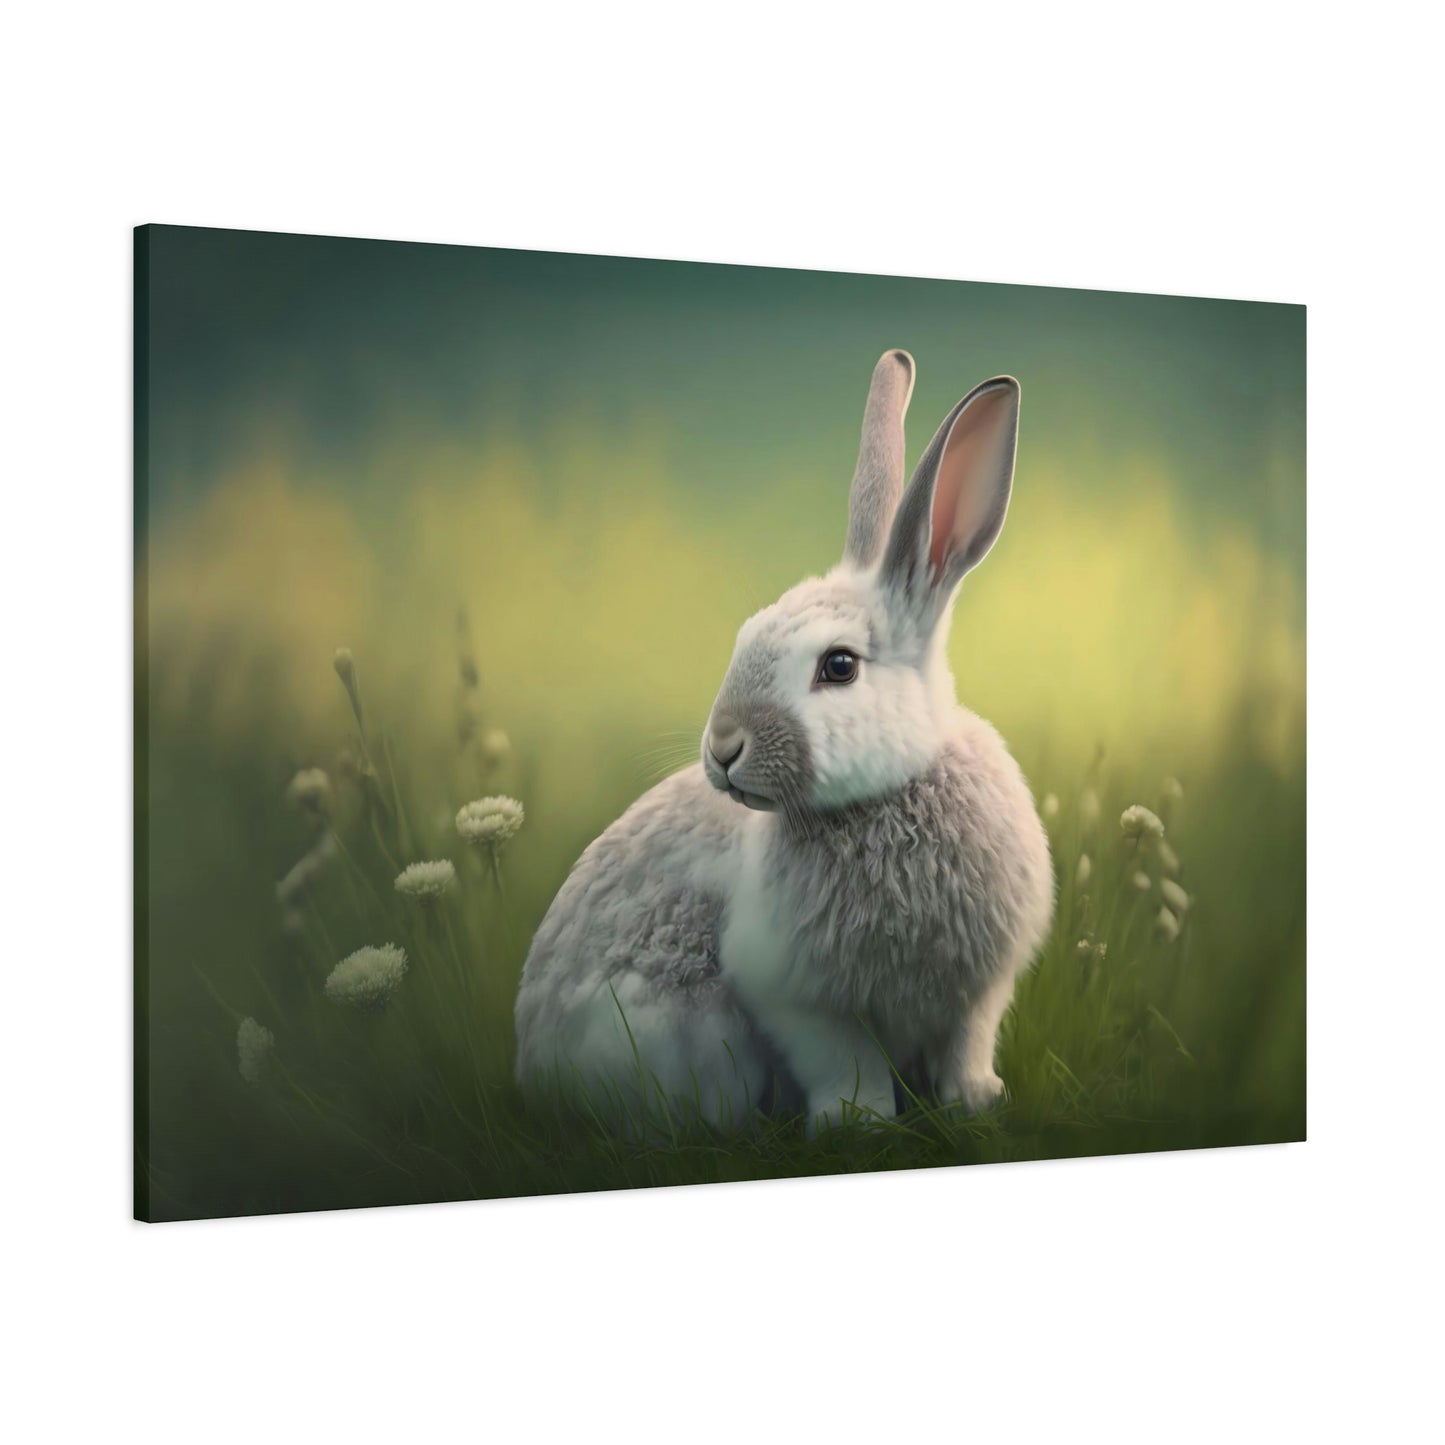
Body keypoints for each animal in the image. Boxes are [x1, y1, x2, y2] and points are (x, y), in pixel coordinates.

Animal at [514, 350, 1055, 1131]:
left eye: (839, 665)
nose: (723, 749)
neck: (888, 796)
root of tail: (531, 1072)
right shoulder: (799, 1000)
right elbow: (843, 1061)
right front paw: (857, 1122)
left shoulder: (974, 995)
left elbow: (963, 1051)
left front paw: (976, 1102)